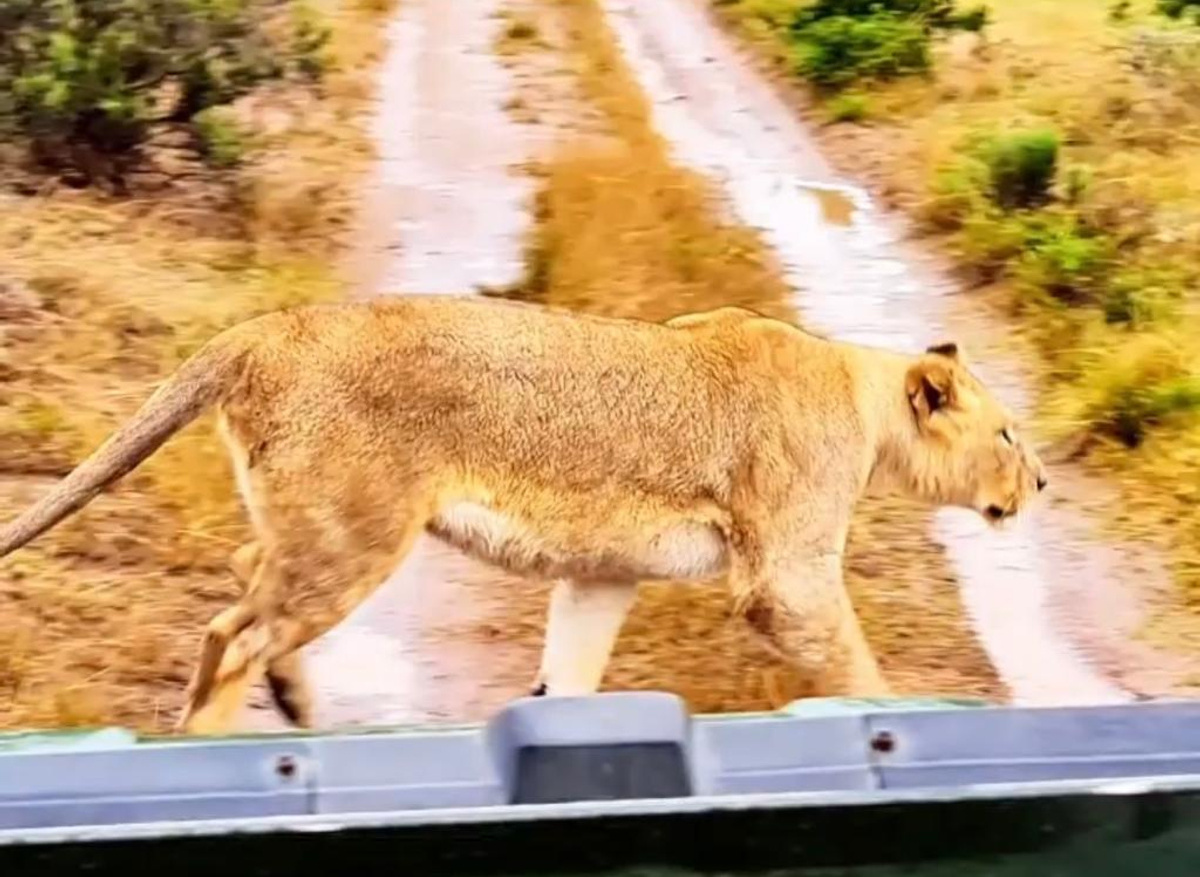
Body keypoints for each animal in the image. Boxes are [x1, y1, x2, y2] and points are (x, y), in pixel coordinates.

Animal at [0, 295, 1047, 734]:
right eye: (1007, 433)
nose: (1040, 485)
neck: (863, 397)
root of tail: (269, 329)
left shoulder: (603, 574)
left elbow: (569, 674)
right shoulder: (785, 574)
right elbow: (858, 666)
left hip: (310, 526)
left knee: (243, 586)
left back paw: (290, 701)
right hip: (356, 534)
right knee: (235, 633)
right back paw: (227, 743)